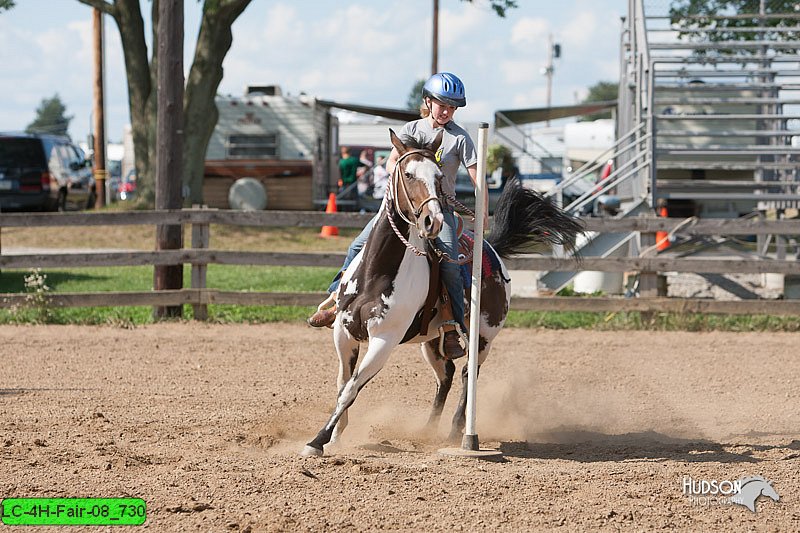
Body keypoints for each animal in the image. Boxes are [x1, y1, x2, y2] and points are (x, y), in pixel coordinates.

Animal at [300, 130, 580, 458]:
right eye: (408, 174)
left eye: (438, 176)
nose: (432, 221)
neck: (377, 273)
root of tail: (493, 250)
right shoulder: (343, 334)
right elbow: (342, 385)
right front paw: (336, 434)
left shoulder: (384, 340)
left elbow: (351, 390)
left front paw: (317, 441)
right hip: (433, 341)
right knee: (446, 374)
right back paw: (427, 431)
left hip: (483, 337)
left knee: (467, 375)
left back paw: (458, 432)